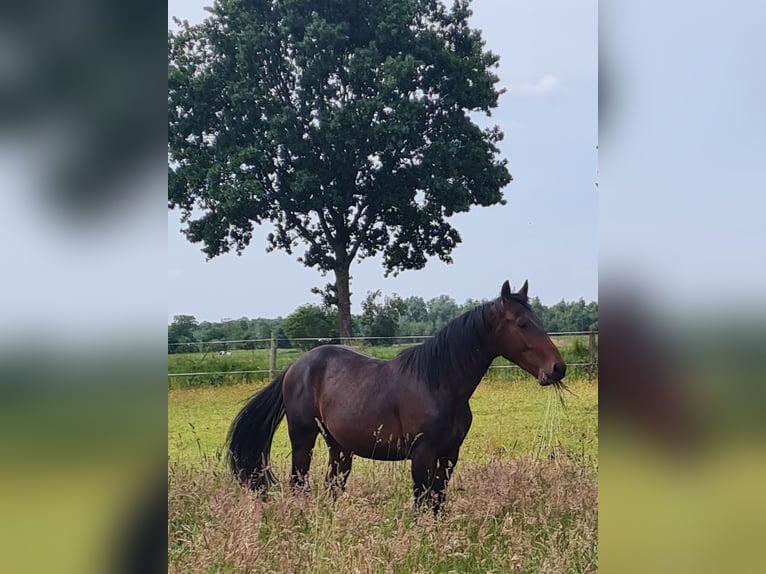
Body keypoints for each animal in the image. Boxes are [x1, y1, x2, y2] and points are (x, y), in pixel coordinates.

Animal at [225, 282, 568, 516]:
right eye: (522, 324)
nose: (557, 368)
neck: (439, 383)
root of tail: (294, 367)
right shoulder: (422, 455)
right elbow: (421, 501)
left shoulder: (449, 455)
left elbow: (437, 501)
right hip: (303, 439)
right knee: (299, 483)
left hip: (339, 447)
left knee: (333, 485)